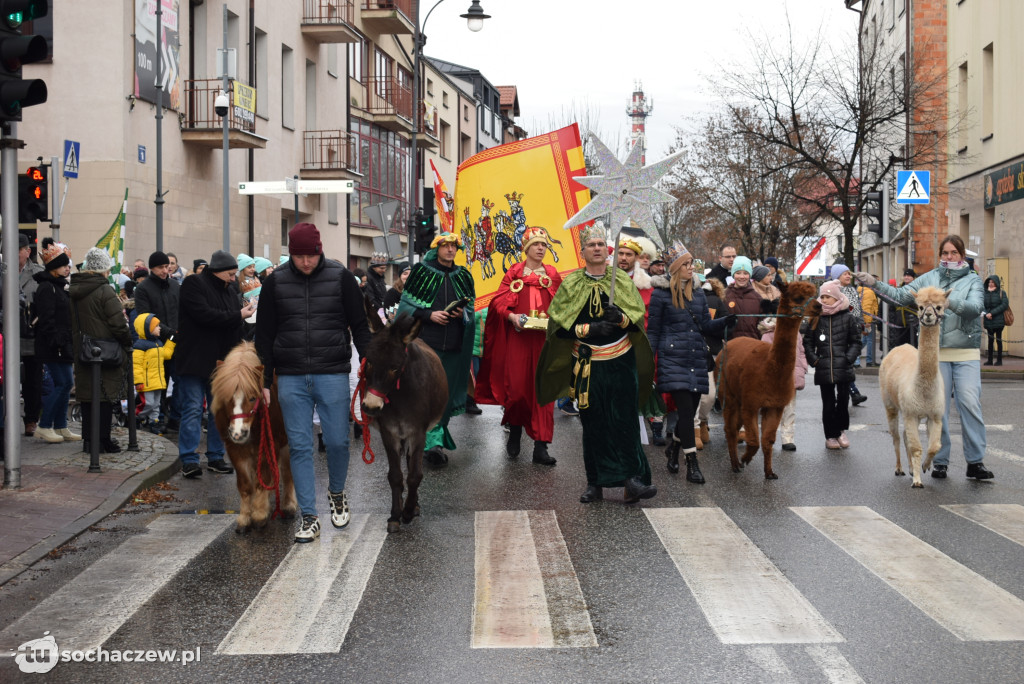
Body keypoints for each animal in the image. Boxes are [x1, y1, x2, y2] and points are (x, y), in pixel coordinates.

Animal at [210, 344, 296, 532]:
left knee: (287, 472)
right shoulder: (234, 449)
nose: (238, 433)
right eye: (227, 398)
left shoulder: (269, 445)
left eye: (252, 398)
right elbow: (245, 485)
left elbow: (263, 478)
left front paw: (260, 515)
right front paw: (244, 518)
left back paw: (288, 506)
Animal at [360, 307, 448, 532]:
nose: (371, 406)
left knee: (410, 464)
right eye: (369, 361)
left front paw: (408, 511)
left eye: (395, 367)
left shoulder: (417, 432)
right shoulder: (389, 433)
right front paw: (395, 515)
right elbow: (395, 475)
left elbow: (415, 475)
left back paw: (413, 505)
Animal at [716, 280, 819, 479]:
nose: (819, 306)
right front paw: (745, 459)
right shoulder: (751, 404)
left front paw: (770, 472)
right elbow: (754, 440)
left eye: (815, 294)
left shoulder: (775, 405)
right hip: (727, 392)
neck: (769, 370)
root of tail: (729, 342)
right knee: (729, 429)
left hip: (739, 398)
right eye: (798, 297)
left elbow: (768, 440)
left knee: (734, 428)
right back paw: (735, 464)